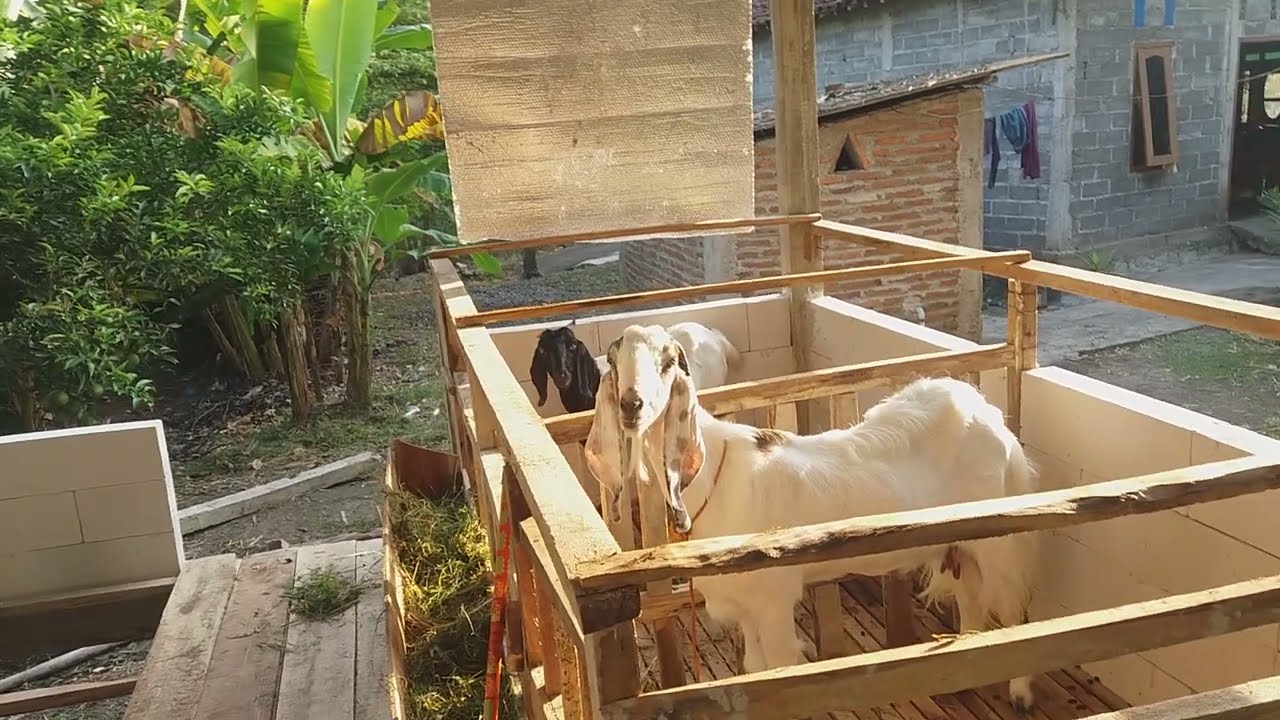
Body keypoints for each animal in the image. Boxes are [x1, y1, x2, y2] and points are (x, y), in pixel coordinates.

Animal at [584, 324, 1041, 714]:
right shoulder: (746, 604)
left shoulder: (774, 597)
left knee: (1013, 608)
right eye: (615, 363)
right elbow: (754, 669)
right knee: (971, 598)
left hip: (999, 534)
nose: (631, 406)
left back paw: (1020, 692)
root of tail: (987, 413)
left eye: (666, 363)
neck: (716, 475)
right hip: (958, 539)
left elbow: (779, 671)